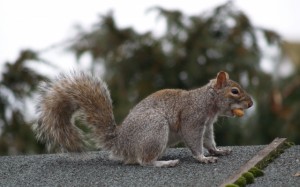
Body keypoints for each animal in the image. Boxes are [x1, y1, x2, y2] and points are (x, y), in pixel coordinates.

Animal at [32, 71, 253, 167]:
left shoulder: (206, 125)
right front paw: (203, 158)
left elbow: (208, 141)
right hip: (155, 128)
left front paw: (218, 151)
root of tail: (121, 142)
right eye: (234, 91)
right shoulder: (192, 119)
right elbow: (194, 141)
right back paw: (165, 163)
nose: (251, 103)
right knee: (144, 161)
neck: (207, 101)